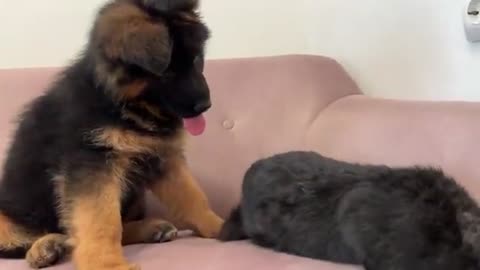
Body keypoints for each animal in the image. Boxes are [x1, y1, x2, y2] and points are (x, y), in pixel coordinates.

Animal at [0, 0, 224, 268]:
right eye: (168, 72)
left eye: (197, 59)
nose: (205, 105)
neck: (122, 104)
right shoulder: (93, 160)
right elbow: (102, 219)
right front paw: (107, 263)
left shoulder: (161, 157)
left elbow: (192, 196)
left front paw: (220, 226)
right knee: (25, 240)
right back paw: (44, 248)